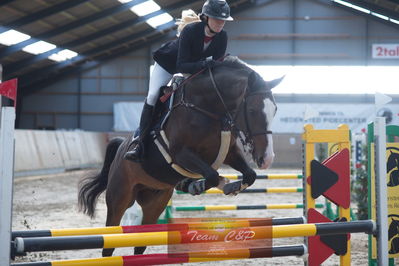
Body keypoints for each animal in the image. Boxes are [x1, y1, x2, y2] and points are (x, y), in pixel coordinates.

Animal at [78, 55, 282, 256]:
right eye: (252, 110)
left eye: (275, 110)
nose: (267, 158)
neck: (208, 108)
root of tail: (121, 147)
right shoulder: (181, 154)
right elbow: (212, 175)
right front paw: (201, 185)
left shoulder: (229, 153)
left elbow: (249, 175)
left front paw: (224, 185)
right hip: (119, 197)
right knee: (109, 243)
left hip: (155, 201)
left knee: (141, 243)